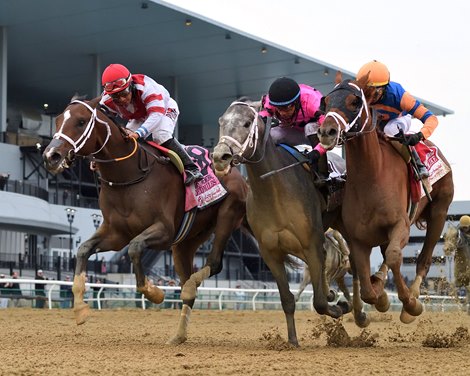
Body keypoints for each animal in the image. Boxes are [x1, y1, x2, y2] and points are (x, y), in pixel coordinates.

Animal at [43, 96, 248, 344]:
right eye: (57, 120)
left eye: (81, 121)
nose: (51, 156)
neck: (128, 175)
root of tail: (238, 175)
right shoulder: (116, 234)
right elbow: (83, 249)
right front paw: (80, 309)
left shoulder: (164, 230)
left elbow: (135, 248)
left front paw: (155, 293)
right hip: (185, 243)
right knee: (188, 287)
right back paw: (178, 335)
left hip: (227, 215)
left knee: (215, 263)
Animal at [211, 100, 370, 346]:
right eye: (221, 121)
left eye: (247, 123)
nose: (220, 156)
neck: (274, 190)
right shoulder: (271, 253)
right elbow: (288, 299)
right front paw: (292, 340)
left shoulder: (311, 243)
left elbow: (319, 302)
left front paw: (340, 307)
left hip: (344, 226)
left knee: (354, 265)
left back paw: (359, 313)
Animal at [318, 75, 454, 324]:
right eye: (326, 102)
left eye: (354, 102)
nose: (327, 131)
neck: (372, 178)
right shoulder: (358, 239)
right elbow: (367, 288)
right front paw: (379, 296)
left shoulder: (401, 225)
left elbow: (393, 256)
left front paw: (410, 304)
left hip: (440, 210)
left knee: (423, 258)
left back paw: (410, 302)